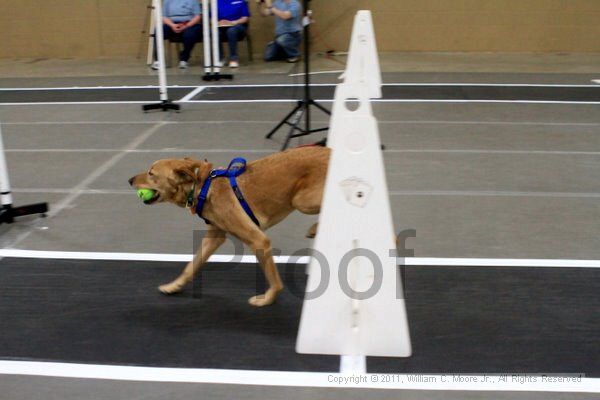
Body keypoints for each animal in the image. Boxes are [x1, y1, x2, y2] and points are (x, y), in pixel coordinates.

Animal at [128, 146, 330, 306]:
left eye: (151, 173)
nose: (129, 180)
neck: (202, 188)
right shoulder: (214, 237)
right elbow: (192, 265)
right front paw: (173, 286)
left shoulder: (259, 240)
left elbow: (274, 280)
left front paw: (267, 299)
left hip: (300, 201)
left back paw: (314, 228)